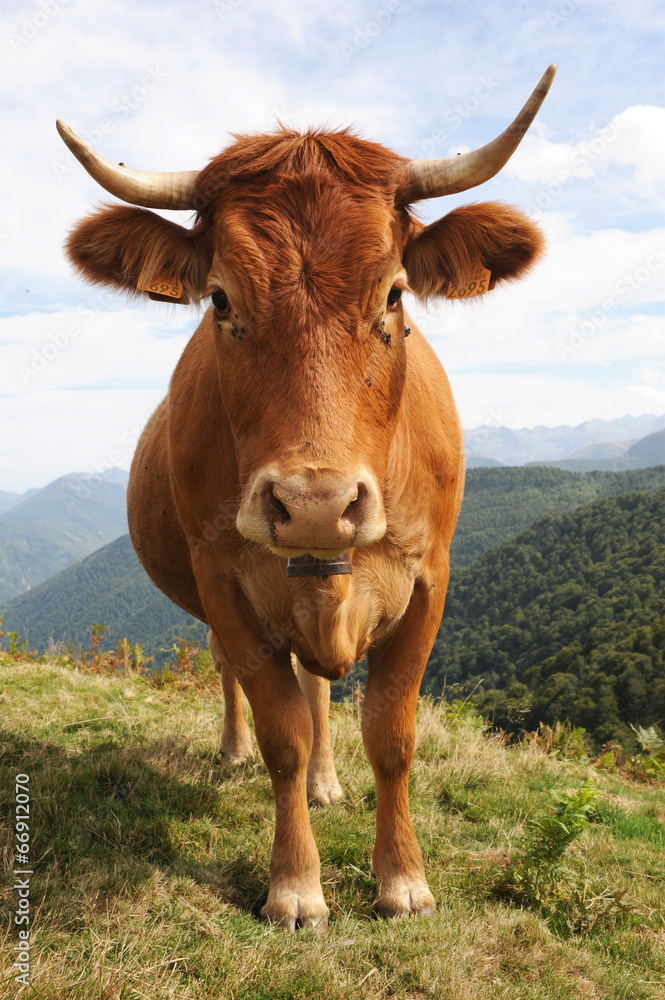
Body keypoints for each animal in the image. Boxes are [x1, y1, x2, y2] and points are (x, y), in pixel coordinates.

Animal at [58, 68, 556, 928]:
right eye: (220, 300)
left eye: (393, 296)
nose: (316, 503)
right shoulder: (223, 579)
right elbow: (280, 733)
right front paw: (294, 887)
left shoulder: (430, 581)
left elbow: (388, 734)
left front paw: (402, 880)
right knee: (240, 677)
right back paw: (232, 753)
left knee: (321, 687)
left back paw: (328, 784)